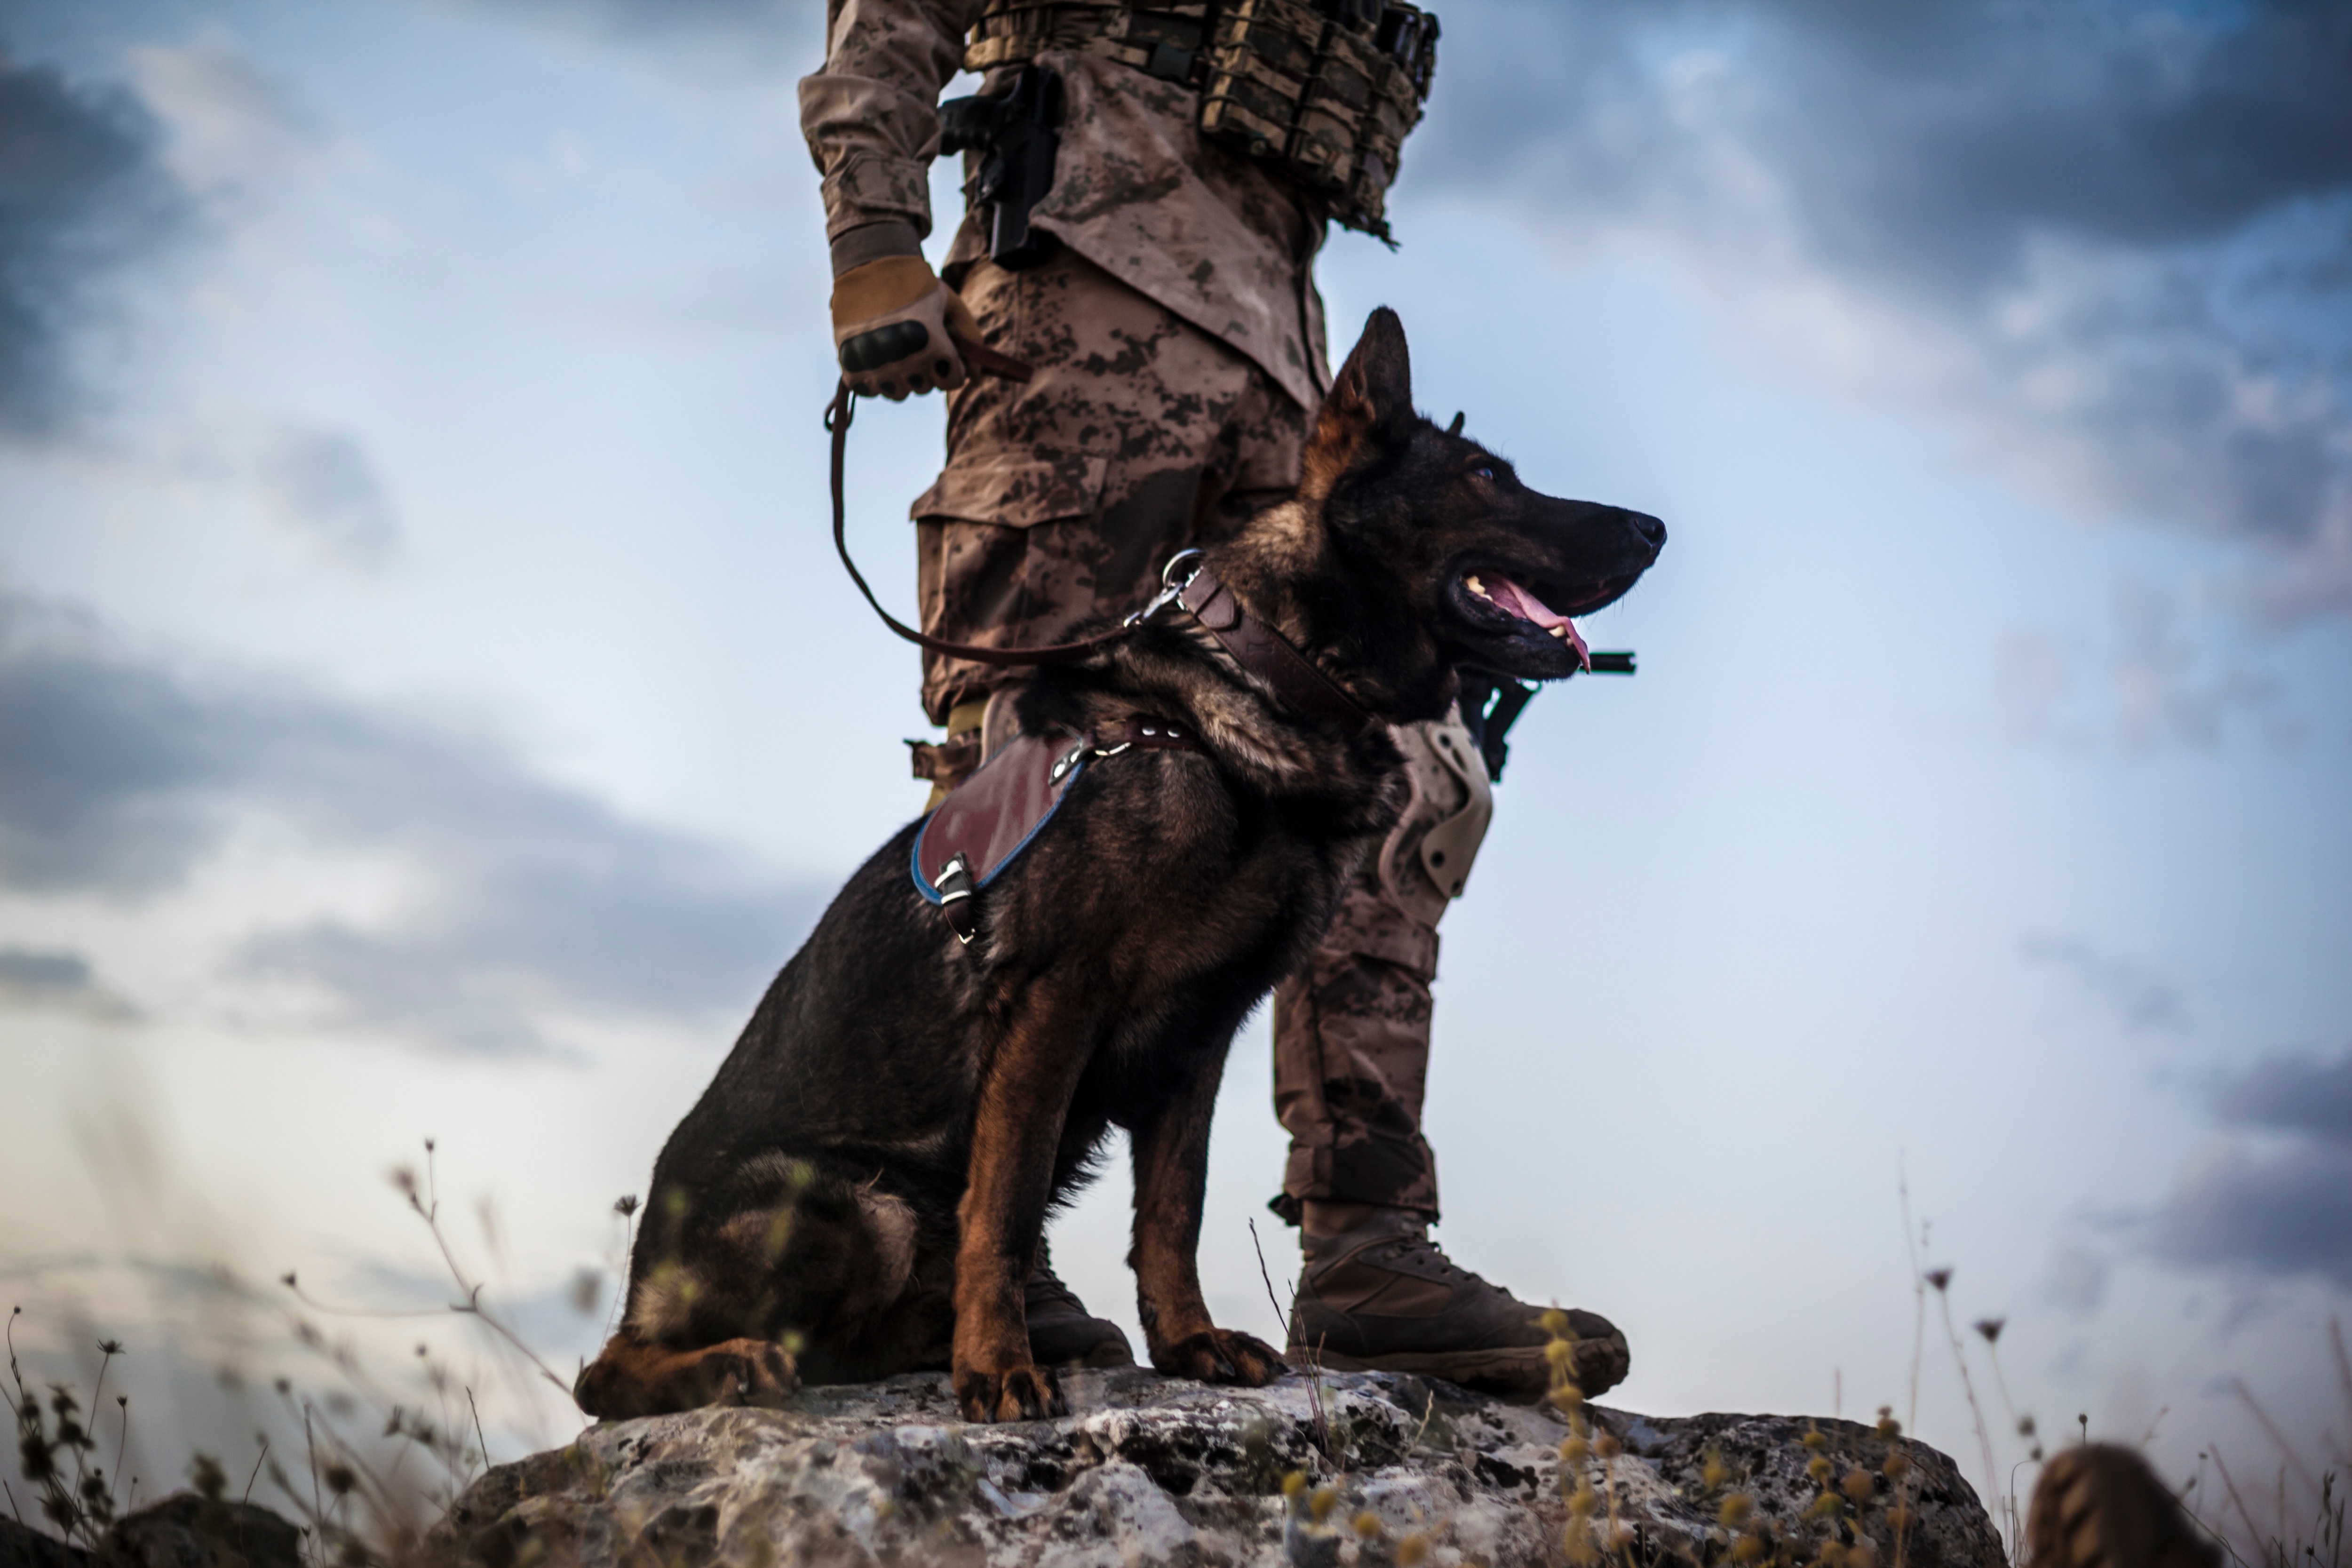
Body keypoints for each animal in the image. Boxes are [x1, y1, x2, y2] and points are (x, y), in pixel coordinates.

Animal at [576, 312, 1665, 1429]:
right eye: (1487, 477)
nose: (1655, 529)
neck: (1255, 687)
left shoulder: (1204, 1037)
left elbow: (1174, 1211)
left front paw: (1188, 1343)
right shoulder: (1056, 1001)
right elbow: (1007, 1207)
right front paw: (997, 1366)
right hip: (858, 1206)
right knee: (604, 1372)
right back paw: (736, 1365)